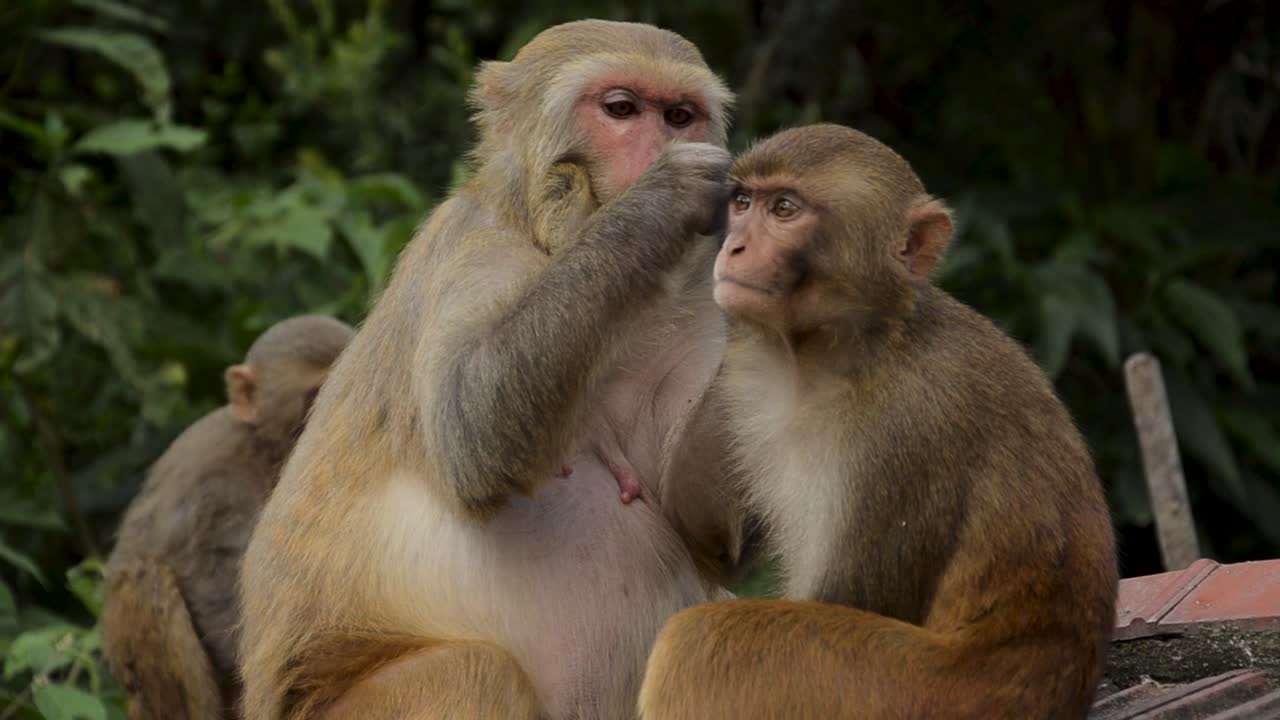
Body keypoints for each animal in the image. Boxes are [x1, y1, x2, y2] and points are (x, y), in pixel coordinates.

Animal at [237, 20, 744, 720]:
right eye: (621, 109)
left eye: (679, 115)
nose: (660, 149)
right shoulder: (470, 248)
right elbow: (471, 426)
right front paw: (657, 204)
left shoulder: (695, 306)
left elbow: (708, 524)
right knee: (475, 672)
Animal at [637, 124, 1120, 720]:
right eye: (743, 203)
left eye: (785, 209)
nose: (734, 247)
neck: (849, 354)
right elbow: (715, 548)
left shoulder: (906, 427)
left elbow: (847, 599)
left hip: (916, 693)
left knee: (701, 640)